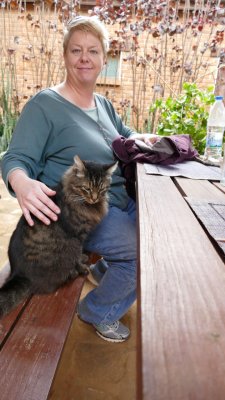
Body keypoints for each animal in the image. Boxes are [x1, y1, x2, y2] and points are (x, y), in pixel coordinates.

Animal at [0, 155, 116, 318]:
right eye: (86, 188)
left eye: (101, 189)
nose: (94, 198)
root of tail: (19, 274)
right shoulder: (77, 237)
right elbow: (77, 256)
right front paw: (82, 266)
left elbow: (80, 255)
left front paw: (83, 258)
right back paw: (73, 273)